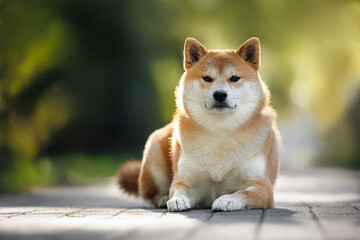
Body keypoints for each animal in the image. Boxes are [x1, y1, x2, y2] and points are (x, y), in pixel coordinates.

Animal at [118, 36, 282, 211]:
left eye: (234, 78)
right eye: (207, 78)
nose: (220, 94)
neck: (220, 133)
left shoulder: (262, 187)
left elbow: (242, 193)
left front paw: (227, 199)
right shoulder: (185, 181)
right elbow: (177, 190)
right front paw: (177, 200)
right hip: (154, 157)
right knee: (151, 195)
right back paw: (162, 199)